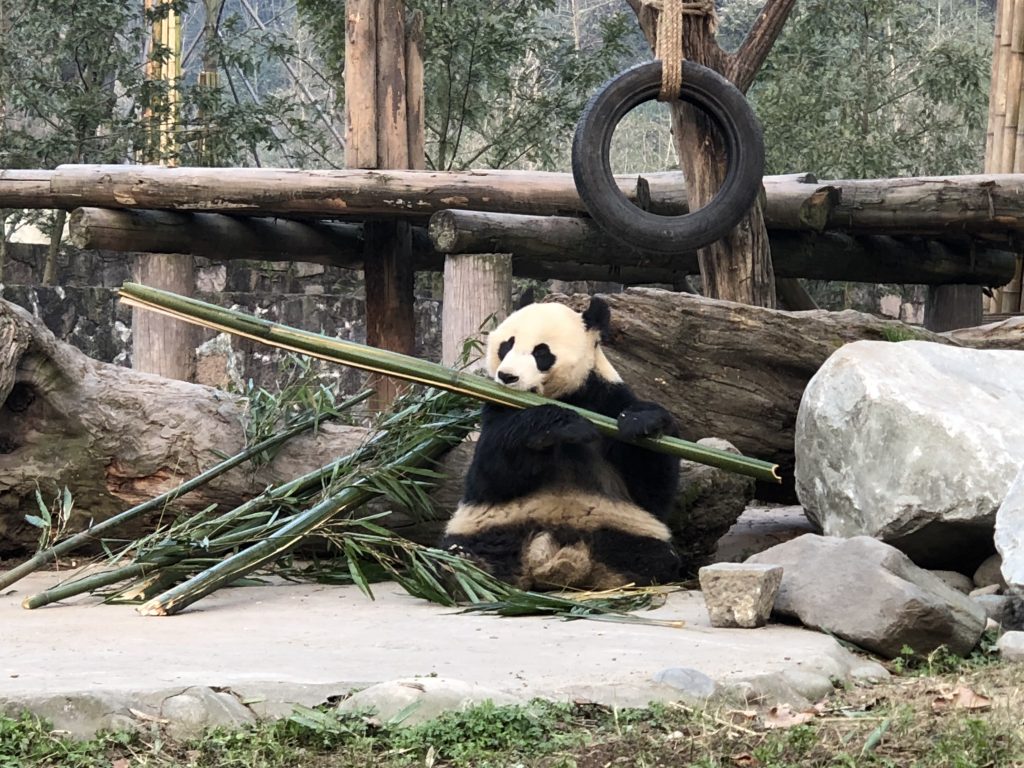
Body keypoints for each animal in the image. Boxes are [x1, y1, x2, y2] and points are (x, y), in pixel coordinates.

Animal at [440, 296, 679, 593]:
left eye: (541, 352)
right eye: (506, 345)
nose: (507, 377)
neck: (562, 396)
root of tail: (550, 553)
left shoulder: (605, 399)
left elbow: (652, 490)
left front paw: (641, 421)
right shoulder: (496, 409)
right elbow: (491, 474)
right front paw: (561, 423)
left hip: (623, 525)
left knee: (651, 555)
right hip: (488, 524)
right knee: (467, 547)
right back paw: (465, 564)